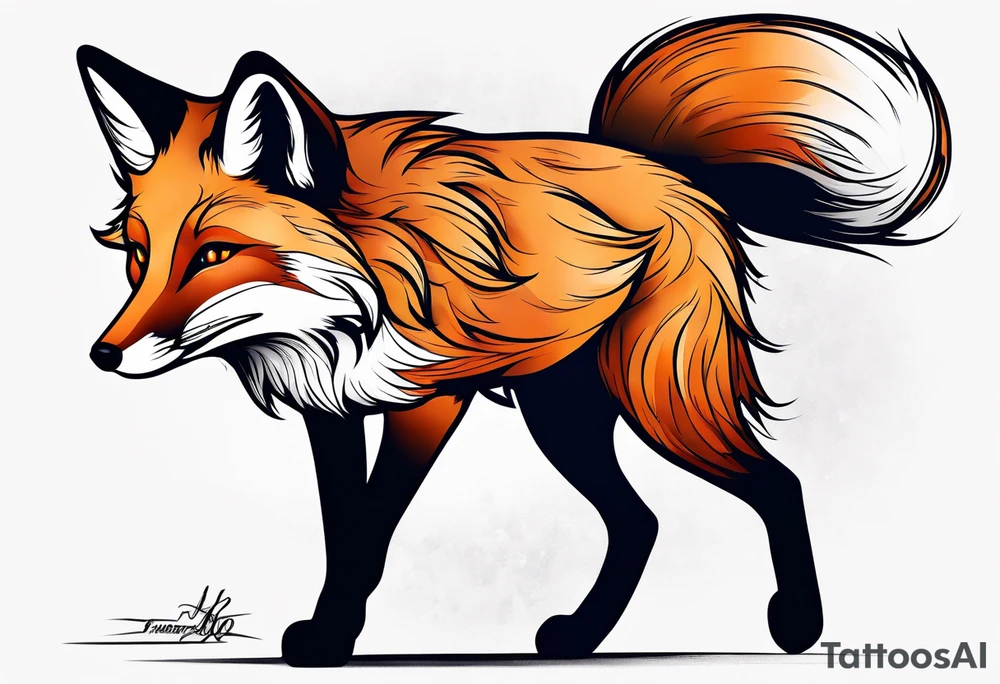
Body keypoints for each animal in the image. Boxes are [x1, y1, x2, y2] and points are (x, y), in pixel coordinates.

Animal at [78, 14, 950, 666]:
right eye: (138, 257)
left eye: (214, 255)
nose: (102, 357)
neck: (352, 300)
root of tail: (662, 166)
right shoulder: (332, 408)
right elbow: (340, 528)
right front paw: (333, 628)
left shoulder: (429, 396)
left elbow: (370, 532)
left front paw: (329, 640)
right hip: (562, 417)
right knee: (640, 521)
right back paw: (581, 635)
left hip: (660, 400)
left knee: (778, 484)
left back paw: (798, 624)